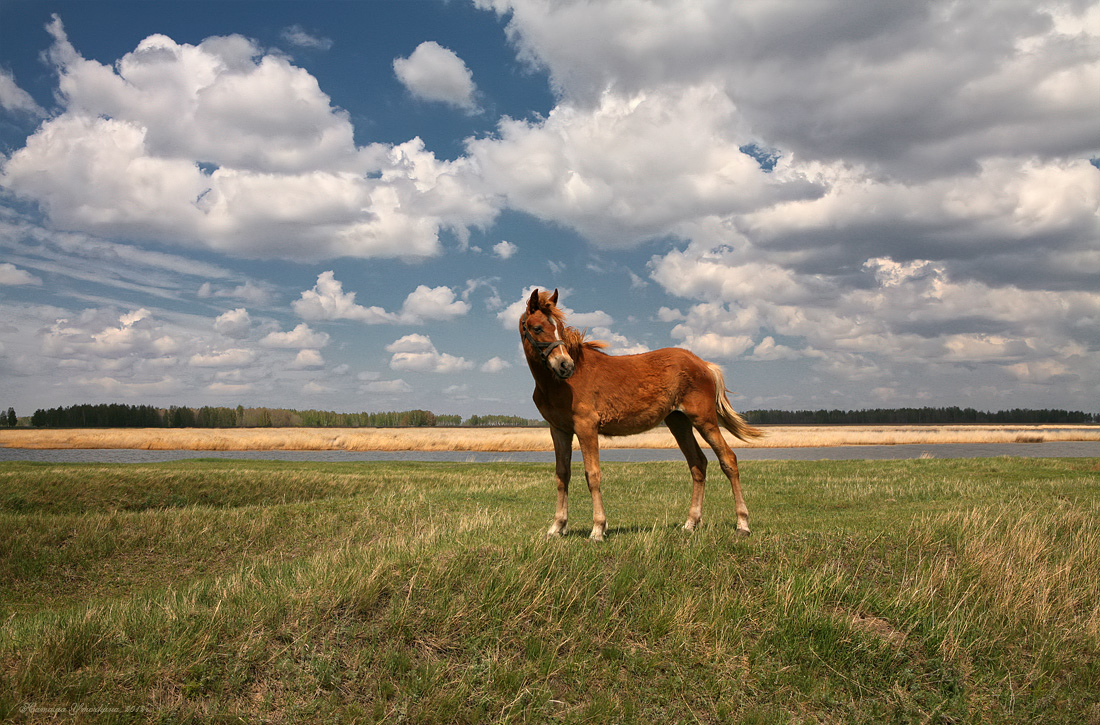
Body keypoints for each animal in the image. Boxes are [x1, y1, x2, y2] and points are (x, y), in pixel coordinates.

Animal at [517, 288, 761, 539]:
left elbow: (592, 474)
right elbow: (562, 474)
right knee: (698, 463)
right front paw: (557, 526)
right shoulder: (559, 430)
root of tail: (704, 364)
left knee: (728, 459)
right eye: (538, 328)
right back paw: (691, 523)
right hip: (678, 422)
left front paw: (598, 528)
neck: (559, 384)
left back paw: (743, 524)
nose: (566, 365)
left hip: (704, 420)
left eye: (561, 329)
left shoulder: (586, 427)